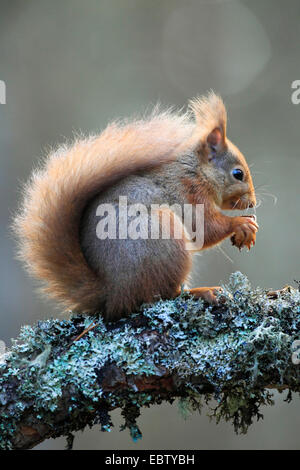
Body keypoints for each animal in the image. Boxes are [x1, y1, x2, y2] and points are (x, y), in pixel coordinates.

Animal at [13, 92, 258, 322]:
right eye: (238, 174)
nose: (253, 203)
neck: (195, 172)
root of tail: (112, 295)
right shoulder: (189, 195)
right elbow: (205, 229)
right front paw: (242, 224)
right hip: (163, 236)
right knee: (162, 295)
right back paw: (201, 292)